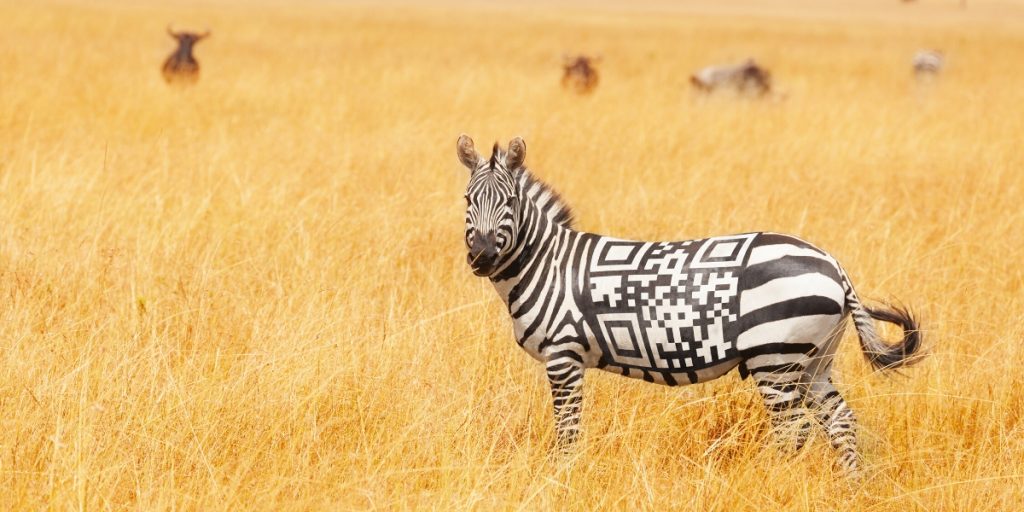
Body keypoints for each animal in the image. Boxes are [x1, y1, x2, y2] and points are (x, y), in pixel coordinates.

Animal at [458, 134, 923, 474]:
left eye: (510, 202)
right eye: (467, 201)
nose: (482, 257)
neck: (548, 263)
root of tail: (834, 265)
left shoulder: (563, 356)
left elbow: (567, 430)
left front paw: (563, 476)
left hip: (775, 358)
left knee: (793, 431)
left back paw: (775, 482)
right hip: (814, 360)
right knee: (839, 421)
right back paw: (851, 485)